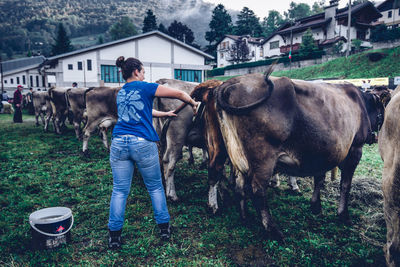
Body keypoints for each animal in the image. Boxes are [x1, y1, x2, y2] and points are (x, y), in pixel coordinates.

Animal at [193, 70, 378, 239]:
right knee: (256, 189)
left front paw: (316, 206)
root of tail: (228, 83)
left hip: (232, 151)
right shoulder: (355, 149)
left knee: (232, 181)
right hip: (263, 157)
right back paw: (272, 229)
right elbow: (345, 185)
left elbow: (319, 178)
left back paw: (241, 215)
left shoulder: (322, 154)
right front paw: (343, 214)